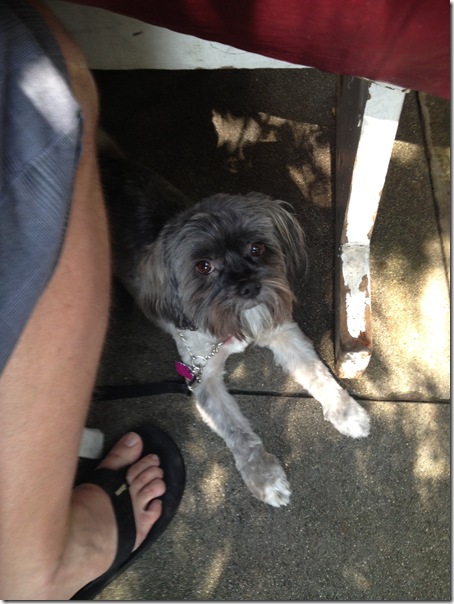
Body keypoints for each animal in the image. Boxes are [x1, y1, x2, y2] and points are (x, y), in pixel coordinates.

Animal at [99, 136, 370, 507]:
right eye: (203, 266)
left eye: (257, 248)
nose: (249, 287)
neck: (230, 327)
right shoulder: (202, 378)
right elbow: (237, 432)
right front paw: (264, 476)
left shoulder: (282, 331)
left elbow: (317, 374)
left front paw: (345, 411)